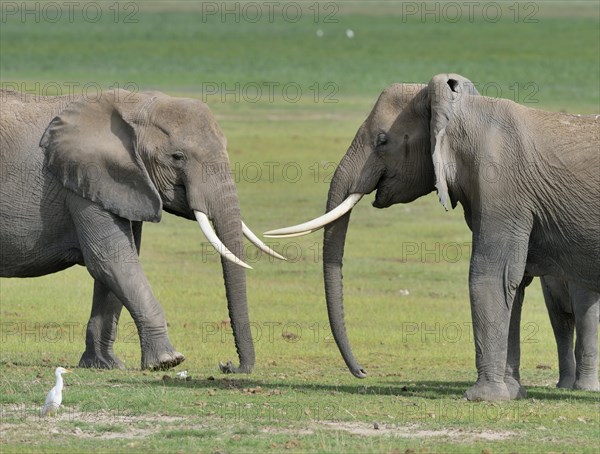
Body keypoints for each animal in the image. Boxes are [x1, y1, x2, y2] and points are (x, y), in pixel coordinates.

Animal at [0, 87, 284, 370]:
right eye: (177, 157)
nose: (227, 365)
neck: (134, 104)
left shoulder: (120, 185)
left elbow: (116, 267)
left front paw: (105, 365)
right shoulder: (84, 180)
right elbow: (112, 260)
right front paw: (168, 361)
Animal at [268, 74, 600, 400]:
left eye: (382, 140)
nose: (362, 371)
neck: (462, 113)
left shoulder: (501, 188)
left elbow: (492, 275)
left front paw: (481, 397)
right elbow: (514, 284)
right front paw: (511, 394)